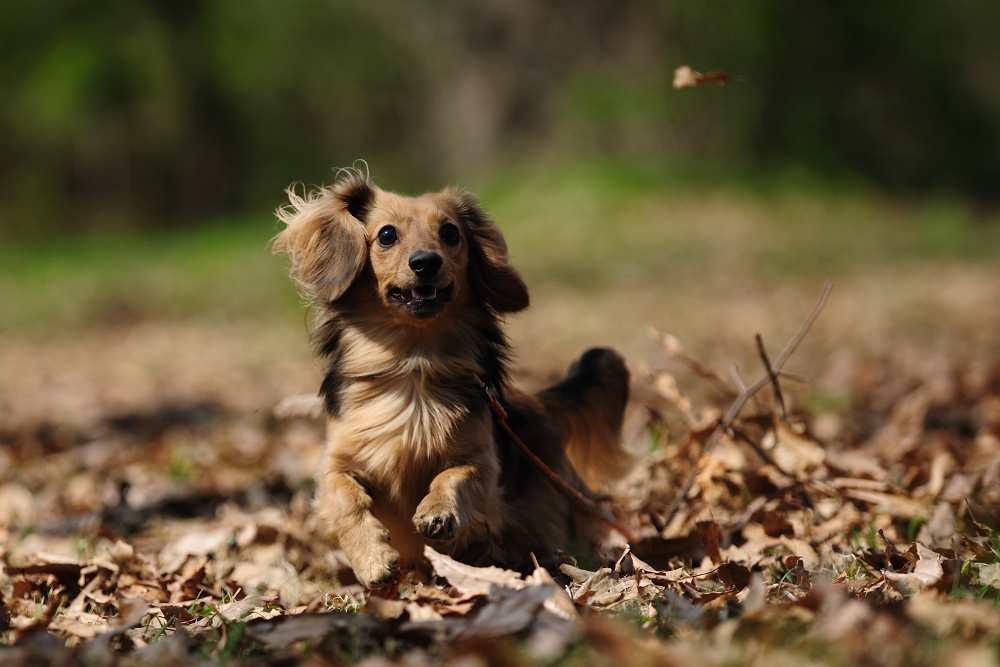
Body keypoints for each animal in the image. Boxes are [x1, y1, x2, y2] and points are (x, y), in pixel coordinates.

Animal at [274, 172, 631, 588]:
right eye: (386, 234)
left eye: (450, 232)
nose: (426, 262)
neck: (412, 363)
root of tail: (539, 402)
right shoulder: (336, 460)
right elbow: (344, 495)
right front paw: (372, 558)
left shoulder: (481, 459)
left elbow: (456, 475)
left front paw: (438, 510)